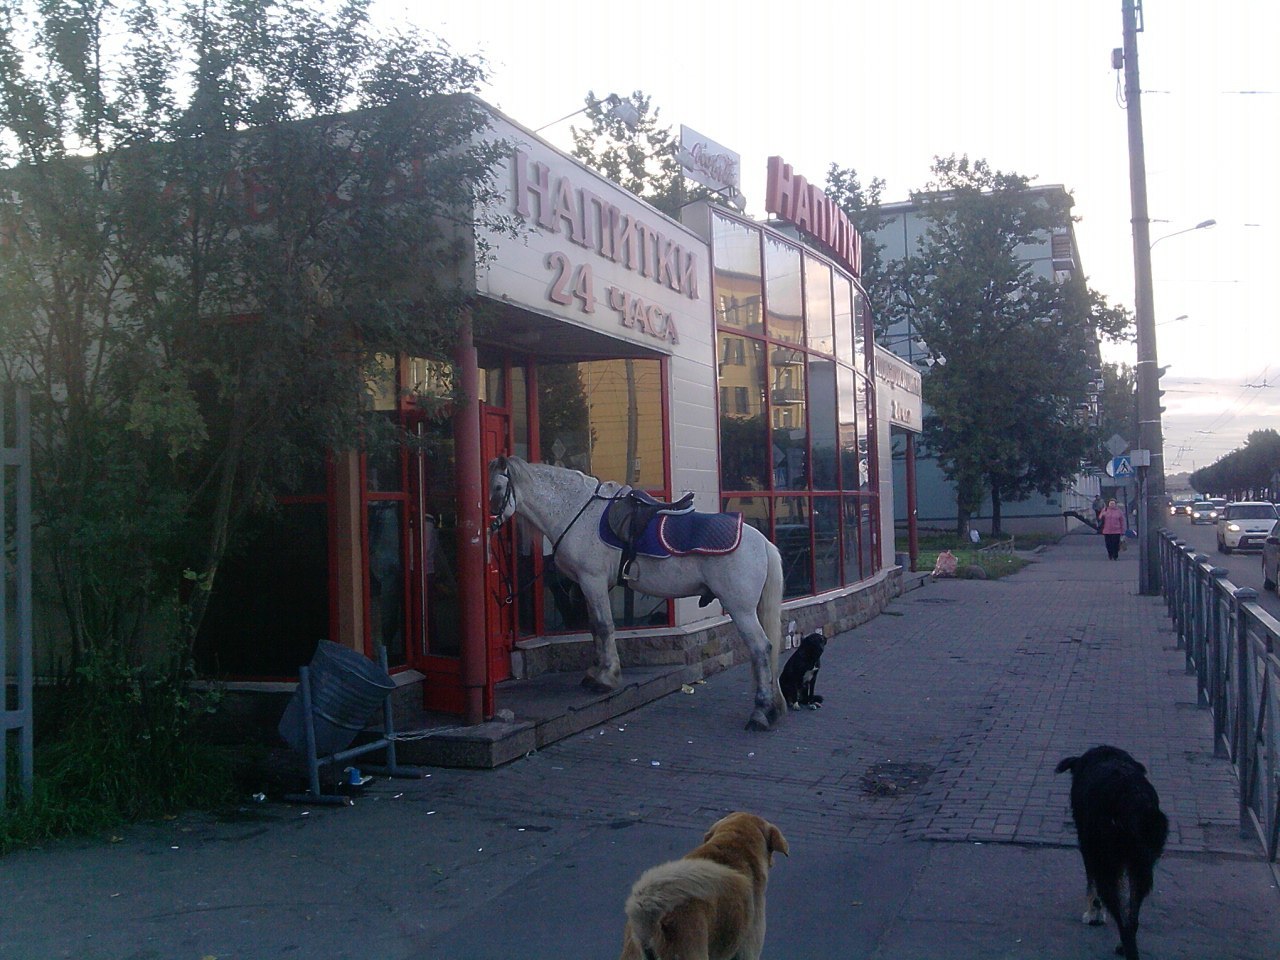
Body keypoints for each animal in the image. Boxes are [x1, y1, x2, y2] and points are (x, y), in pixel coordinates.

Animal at [491, 455, 783, 727]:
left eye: (497, 486)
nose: (490, 524)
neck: (576, 511)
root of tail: (763, 542)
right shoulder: (588, 586)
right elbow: (595, 628)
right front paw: (595, 673)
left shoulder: (592, 580)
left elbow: (604, 626)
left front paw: (606, 678)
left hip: (740, 609)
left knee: (761, 648)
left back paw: (760, 713)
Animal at [1054, 747, 1167, 960]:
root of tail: (1130, 797)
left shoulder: (1089, 851)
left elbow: (1092, 887)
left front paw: (1093, 915)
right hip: (1140, 867)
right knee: (1132, 918)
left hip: (1107, 863)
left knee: (1123, 920)